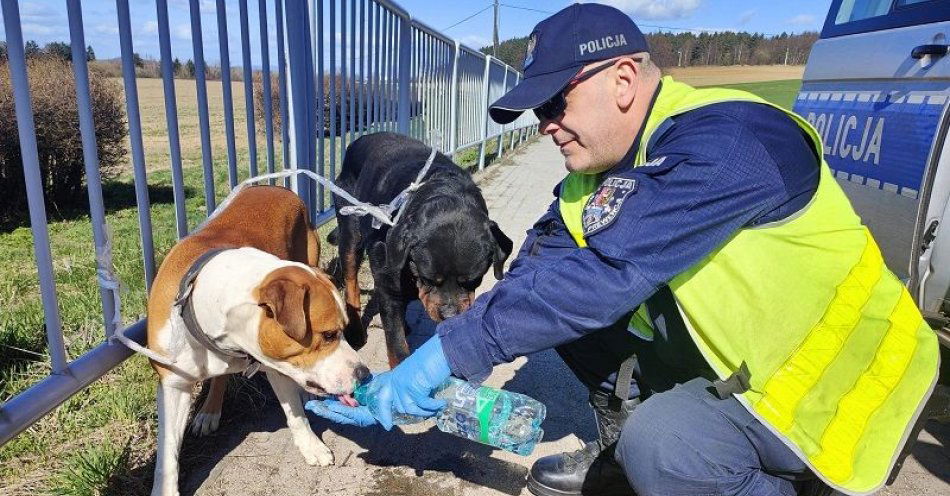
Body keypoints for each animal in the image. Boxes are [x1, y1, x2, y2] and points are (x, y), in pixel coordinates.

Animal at [145, 186, 368, 496]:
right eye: (328, 335)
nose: (365, 373)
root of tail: (275, 187)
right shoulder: (173, 384)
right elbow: (167, 453)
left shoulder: (277, 362)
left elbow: (295, 414)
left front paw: (310, 445)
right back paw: (209, 412)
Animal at [332, 131, 512, 364]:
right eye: (428, 279)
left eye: (473, 280)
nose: (449, 315)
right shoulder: (387, 280)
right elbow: (396, 341)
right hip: (350, 225)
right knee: (351, 277)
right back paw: (355, 332)